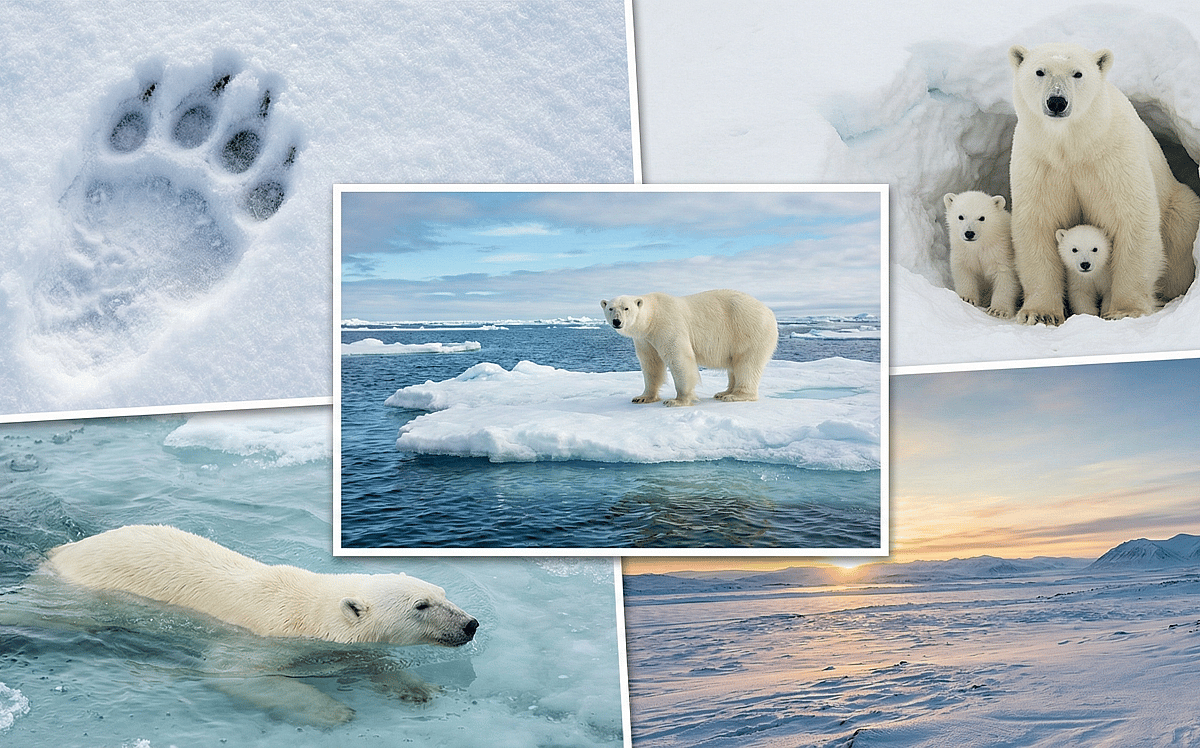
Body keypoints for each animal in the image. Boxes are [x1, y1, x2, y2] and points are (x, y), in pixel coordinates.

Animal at [42, 525, 479, 725]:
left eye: (442, 593)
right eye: (421, 605)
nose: (471, 624)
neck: (308, 610)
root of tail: (61, 550)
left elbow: (369, 661)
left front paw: (417, 689)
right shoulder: (262, 637)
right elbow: (238, 676)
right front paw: (334, 712)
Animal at [600, 289, 777, 407]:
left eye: (626, 308)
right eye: (610, 308)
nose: (617, 321)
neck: (652, 317)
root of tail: (770, 312)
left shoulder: (668, 325)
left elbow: (679, 358)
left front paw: (677, 400)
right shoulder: (645, 339)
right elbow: (651, 364)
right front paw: (642, 397)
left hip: (748, 330)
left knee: (747, 364)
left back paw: (736, 395)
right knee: (734, 366)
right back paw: (723, 393)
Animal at [1008, 42, 1200, 325]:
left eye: (1078, 73)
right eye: (1040, 71)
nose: (1057, 101)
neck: (1073, 146)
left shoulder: (1112, 156)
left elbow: (1131, 217)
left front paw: (1125, 309)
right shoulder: (1039, 162)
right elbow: (1038, 223)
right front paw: (1040, 313)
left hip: (1178, 206)